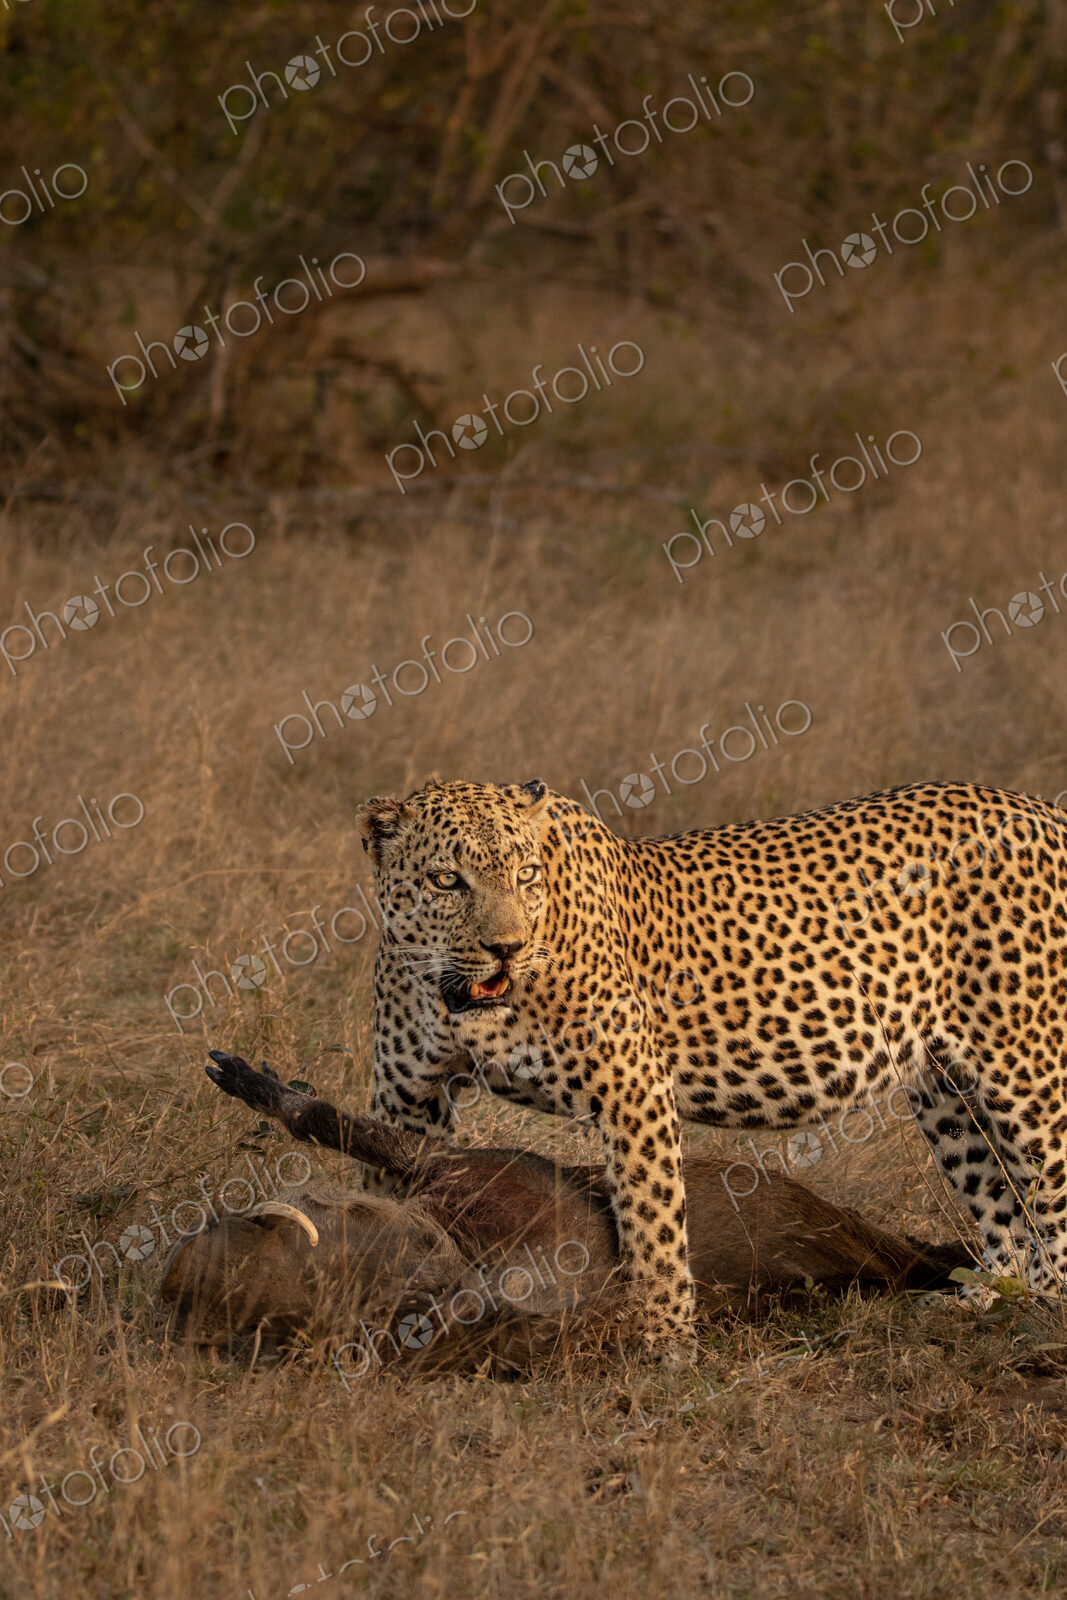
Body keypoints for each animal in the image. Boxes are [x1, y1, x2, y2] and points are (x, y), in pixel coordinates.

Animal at [358, 775, 1067, 1347]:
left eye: (525, 875)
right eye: (446, 880)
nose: (505, 947)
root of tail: (1042, 810)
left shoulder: (632, 1088)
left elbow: (652, 1222)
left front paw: (663, 1342)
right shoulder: (406, 1098)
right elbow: (376, 1197)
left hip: (1030, 1070)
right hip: (947, 1091)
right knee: (999, 1201)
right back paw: (984, 1300)